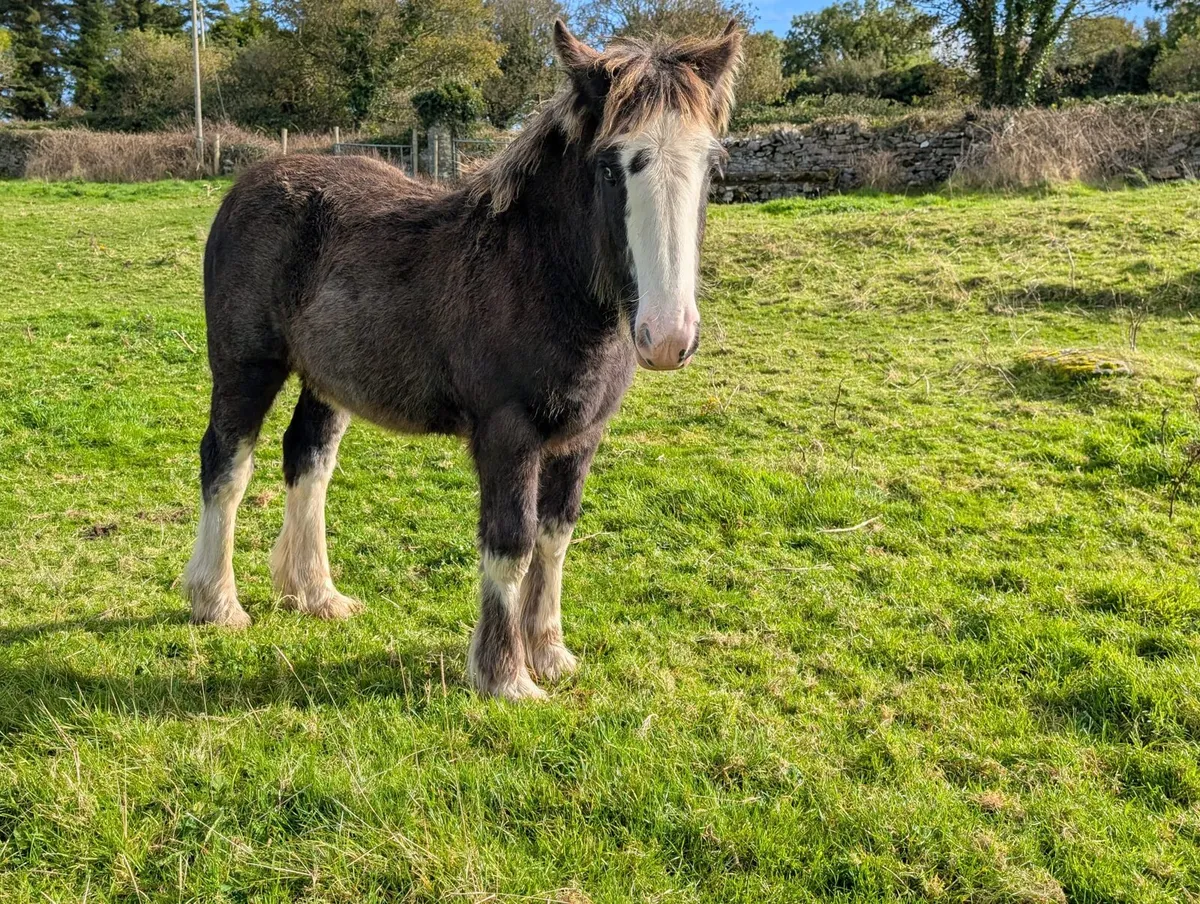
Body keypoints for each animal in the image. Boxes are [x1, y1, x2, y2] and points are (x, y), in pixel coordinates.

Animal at [182, 20, 743, 700]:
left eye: (713, 166)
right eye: (610, 169)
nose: (667, 337)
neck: (537, 274)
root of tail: (246, 183)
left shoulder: (582, 437)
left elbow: (555, 537)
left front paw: (549, 654)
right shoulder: (508, 434)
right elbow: (511, 544)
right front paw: (507, 677)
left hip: (328, 379)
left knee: (308, 460)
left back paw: (314, 594)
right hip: (246, 366)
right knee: (226, 463)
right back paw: (217, 602)